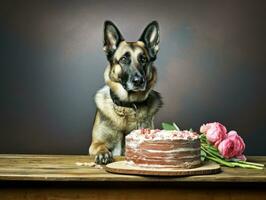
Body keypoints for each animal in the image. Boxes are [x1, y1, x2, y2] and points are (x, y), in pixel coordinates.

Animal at [89, 20, 162, 164]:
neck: (127, 106)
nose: (138, 81)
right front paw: (103, 153)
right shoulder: (94, 143)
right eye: (124, 59)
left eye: (143, 59)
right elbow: (100, 145)